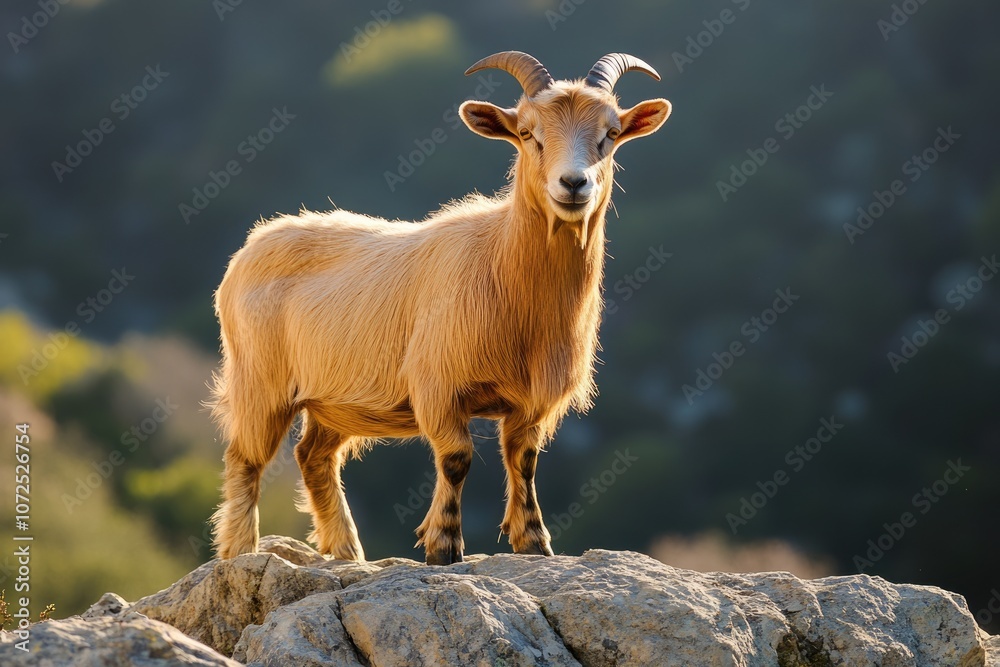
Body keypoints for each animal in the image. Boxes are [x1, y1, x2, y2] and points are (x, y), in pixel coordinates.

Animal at [209, 52, 671, 564]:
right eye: (527, 133)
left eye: (610, 134)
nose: (573, 184)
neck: (503, 265)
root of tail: (251, 245)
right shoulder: (439, 385)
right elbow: (456, 458)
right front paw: (443, 546)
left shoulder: (532, 401)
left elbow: (524, 462)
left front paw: (534, 543)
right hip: (260, 380)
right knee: (245, 459)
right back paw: (240, 552)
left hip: (333, 400)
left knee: (313, 457)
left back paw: (347, 551)